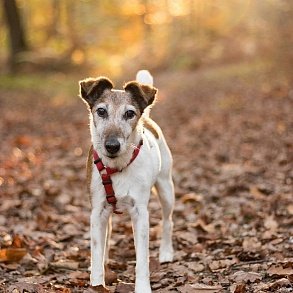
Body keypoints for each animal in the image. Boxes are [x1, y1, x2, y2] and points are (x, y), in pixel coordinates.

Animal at [77, 69, 173, 290]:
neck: (117, 167)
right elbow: (97, 251)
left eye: (129, 113)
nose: (112, 145)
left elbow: (142, 260)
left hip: (166, 188)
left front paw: (143, 288)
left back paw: (166, 252)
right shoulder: (97, 212)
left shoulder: (140, 213)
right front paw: (97, 284)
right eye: (101, 111)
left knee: (168, 221)